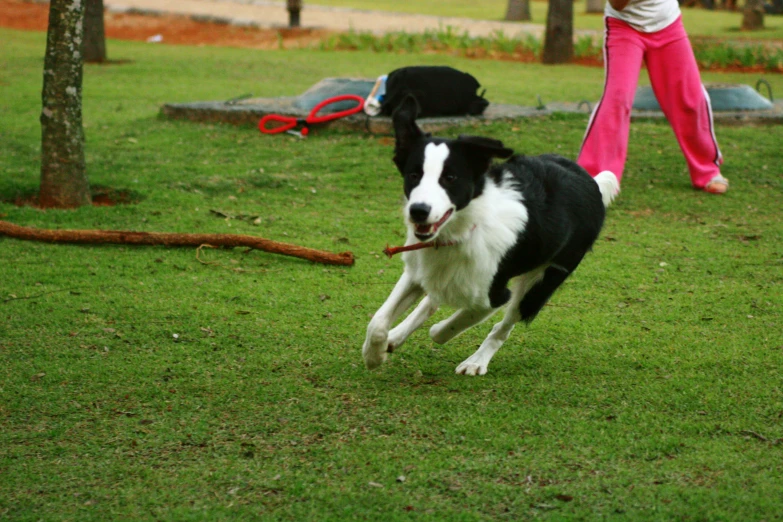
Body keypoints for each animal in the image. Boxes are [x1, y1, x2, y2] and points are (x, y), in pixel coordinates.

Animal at [364, 97, 620, 374]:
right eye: (413, 175)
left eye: (450, 178)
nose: (419, 211)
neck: (461, 231)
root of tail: (592, 183)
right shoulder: (415, 271)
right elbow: (378, 321)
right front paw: (374, 354)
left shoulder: (493, 295)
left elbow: (444, 329)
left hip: (541, 283)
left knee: (503, 326)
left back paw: (477, 360)